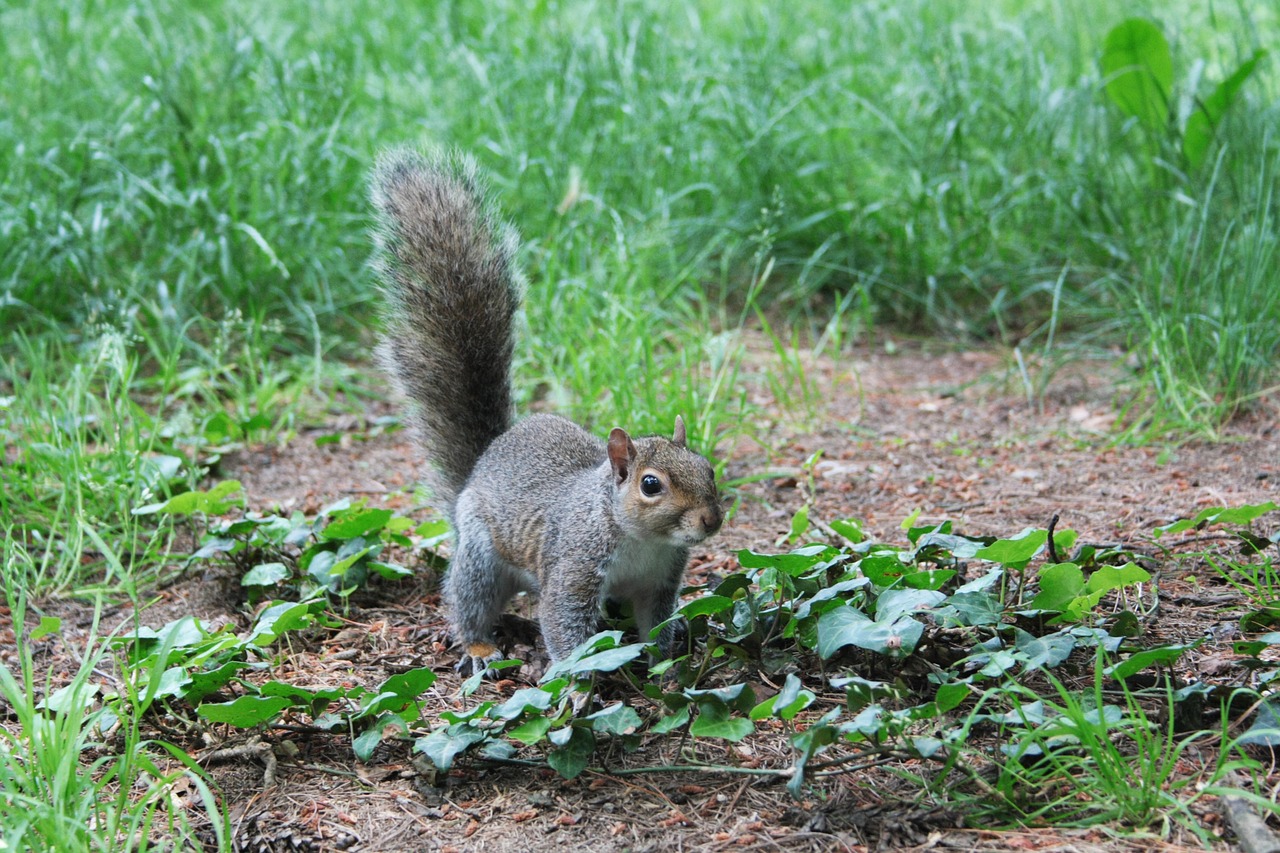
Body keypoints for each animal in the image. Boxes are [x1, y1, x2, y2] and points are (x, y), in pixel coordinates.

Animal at [373, 149, 727, 676]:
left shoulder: (660, 581)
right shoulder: (572, 567)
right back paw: (478, 646)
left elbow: (656, 625)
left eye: (709, 469)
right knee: (467, 602)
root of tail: (482, 463)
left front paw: (665, 665)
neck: (641, 539)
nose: (711, 520)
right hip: (480, 557)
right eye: (650, 485)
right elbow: (565, 625)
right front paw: (577, 681)